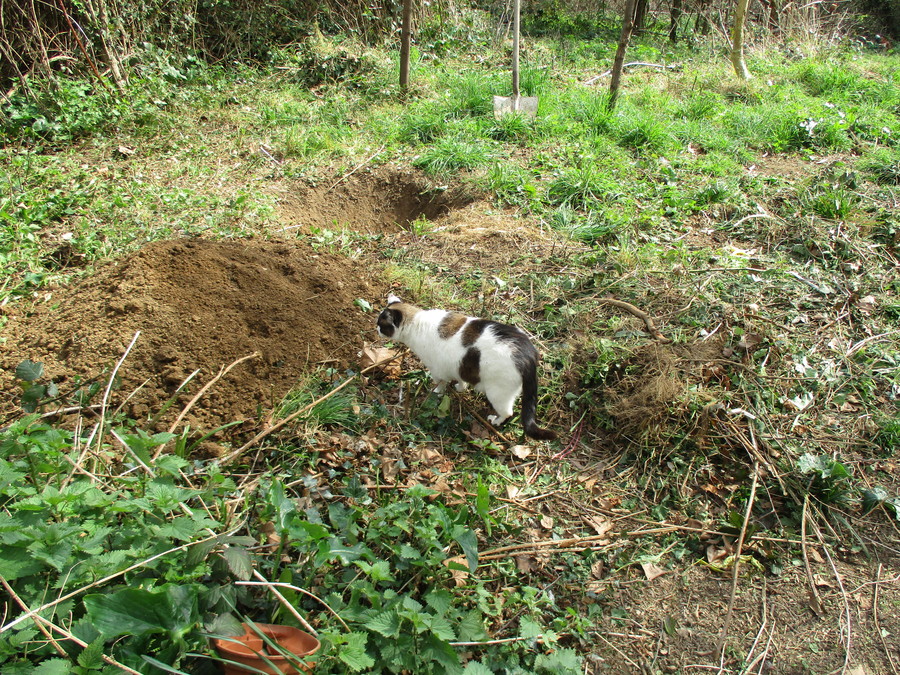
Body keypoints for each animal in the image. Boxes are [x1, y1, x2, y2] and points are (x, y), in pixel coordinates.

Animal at [374, 294, 556, 440]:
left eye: (381, 325)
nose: (376, 329)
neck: (415, 323)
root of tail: (528, 355)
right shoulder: (456, 367)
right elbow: (461, 380)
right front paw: (461, 388)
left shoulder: (436, 370)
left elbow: (440, 385)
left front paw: (437, 392)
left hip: (497, 393)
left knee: (508, 412)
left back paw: (495, 421)